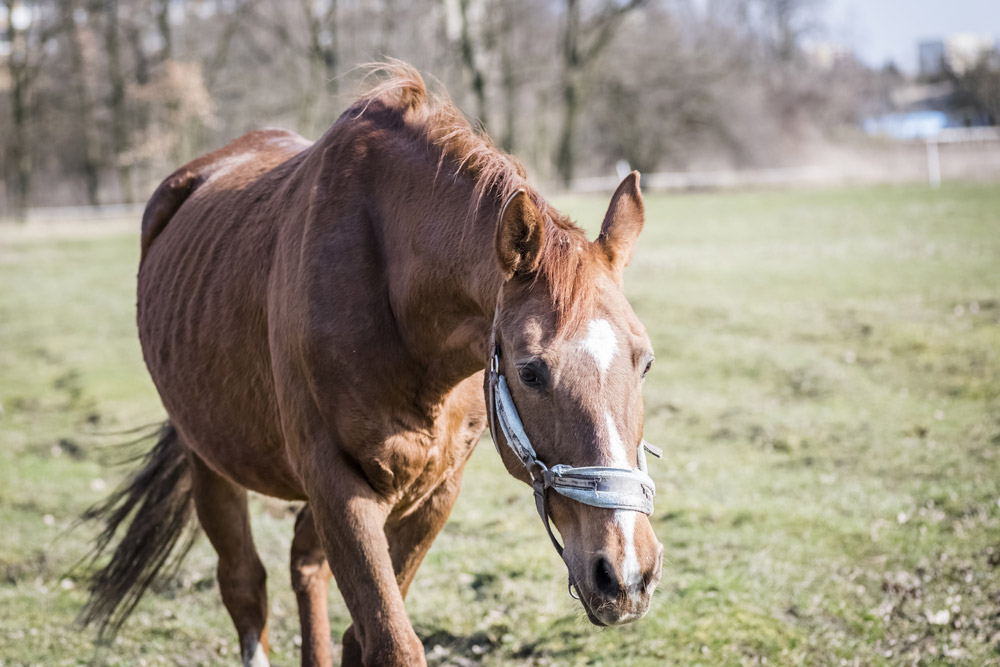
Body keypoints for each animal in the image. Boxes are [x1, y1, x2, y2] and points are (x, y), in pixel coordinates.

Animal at [82, 62, 664, 667]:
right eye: (530, 371)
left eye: (644, 363)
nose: (624, 574)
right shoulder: (337, 486)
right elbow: (390, 643)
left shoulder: (434, 490)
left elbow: (360, 635)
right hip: (208, 460)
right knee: (244, 585)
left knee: (304, 565)